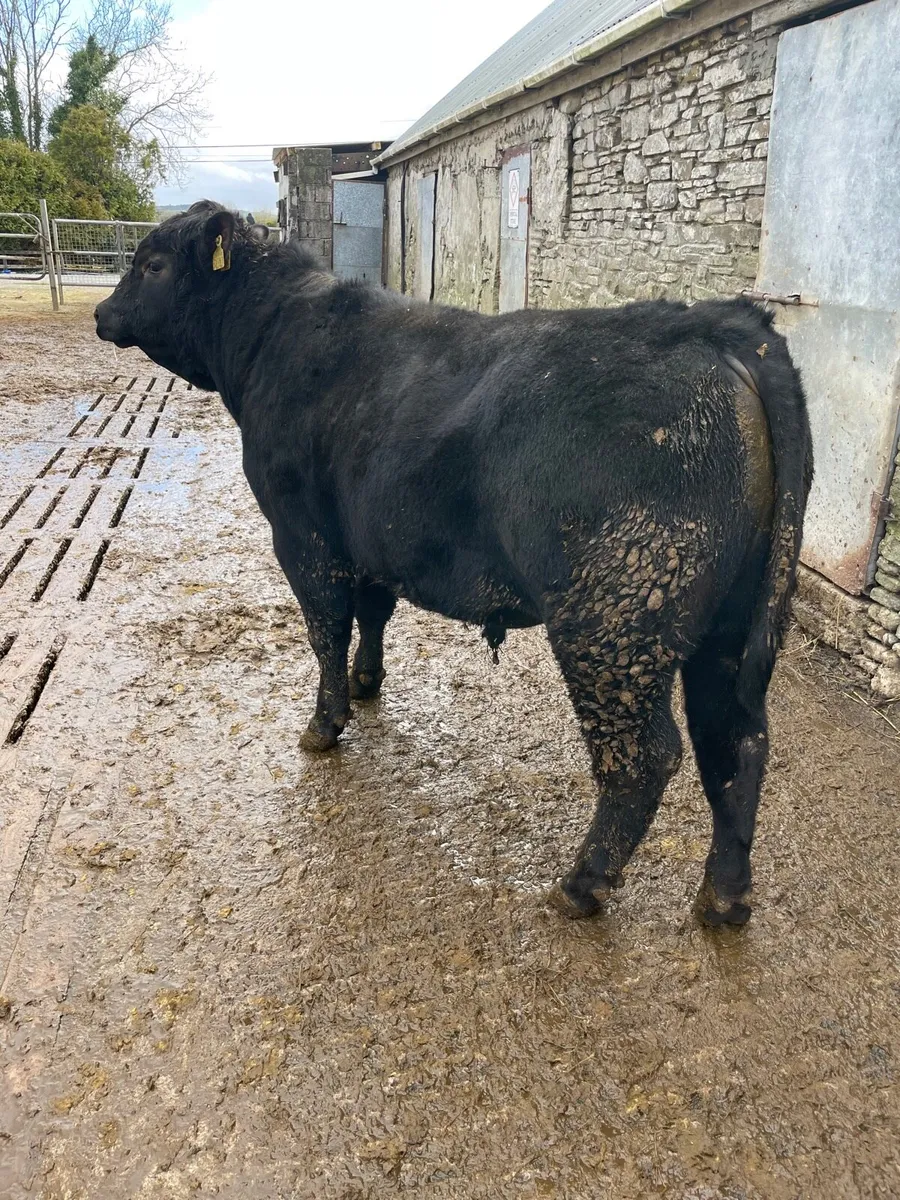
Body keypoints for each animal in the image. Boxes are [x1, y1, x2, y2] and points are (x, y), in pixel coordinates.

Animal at [95, 201, 813, 926]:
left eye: (152, 264)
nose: (101, 312)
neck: (272, 335)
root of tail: (716, 325)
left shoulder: (303, 537)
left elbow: (326, 630)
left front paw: (324, 725)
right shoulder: (371, 540)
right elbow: (373, 613)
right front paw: (366, 681)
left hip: (614, 624)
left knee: (643, 757)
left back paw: (582, 882)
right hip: (728, 624)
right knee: (737, 742)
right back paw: (724, 896)